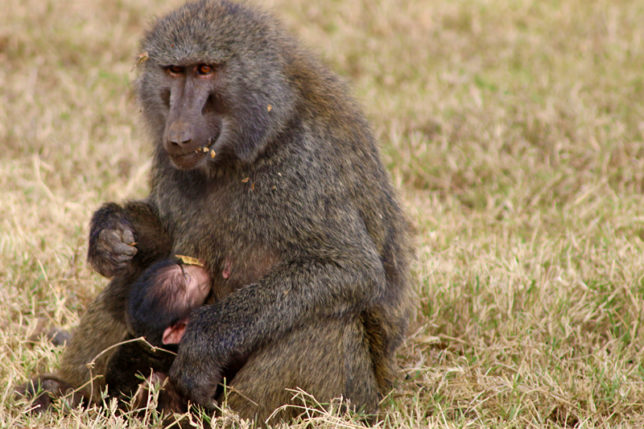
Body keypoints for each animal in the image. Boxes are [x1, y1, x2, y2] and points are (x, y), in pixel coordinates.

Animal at [19, 0, 412, 423]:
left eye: (205, 70)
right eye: (175, 71)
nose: (178, 135)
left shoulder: (303, 163)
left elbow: (350, 267)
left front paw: (202, 344)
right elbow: (165, 240)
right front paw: (108, 234)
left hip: (355, 397)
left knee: (324, 321)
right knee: (135, 274)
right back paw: (72, 393)